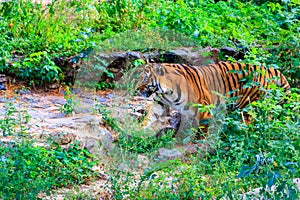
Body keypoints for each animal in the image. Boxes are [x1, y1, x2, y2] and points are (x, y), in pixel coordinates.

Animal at [135, 61, 290, 139]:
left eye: (145, 78)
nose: (136, 89)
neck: (166, 91)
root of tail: (268, 68)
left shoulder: (204, 106)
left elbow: (202, 126)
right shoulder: (160, 102)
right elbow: (150, 116)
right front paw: (139, 129)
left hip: (249, 104)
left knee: (251, 122)